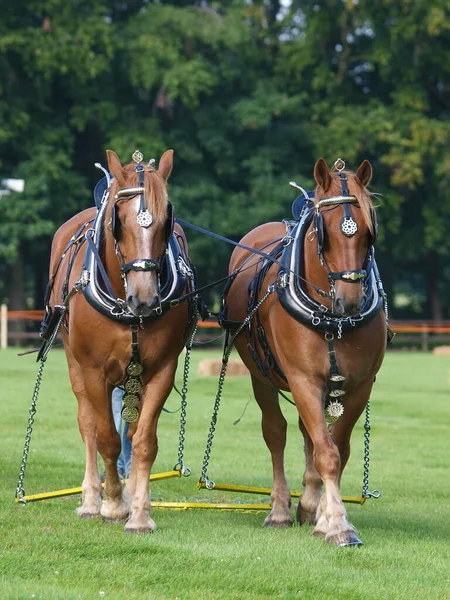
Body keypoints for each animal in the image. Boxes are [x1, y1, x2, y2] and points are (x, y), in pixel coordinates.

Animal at [44, 150, 195, 536]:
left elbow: (142, 442)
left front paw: (139, 512)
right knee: (88, 425)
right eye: (120, 221)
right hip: (75, 364)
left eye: (166, 223)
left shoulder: (161, 370)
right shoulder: (94, 371)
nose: (145, 298)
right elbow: (106, 439)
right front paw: (111, 505)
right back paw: (91, 500)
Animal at [223, 158, 384, 544]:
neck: (333, 318)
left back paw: (309, 505)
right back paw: (280, 510)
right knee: (276, 432)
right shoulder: (303, 380)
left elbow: (337, 448)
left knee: (308, 433)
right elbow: (326, 453)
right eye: (322, 231)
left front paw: (323, 514)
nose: (350, 300)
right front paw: (338, 524)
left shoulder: (359, 386)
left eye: (369, 232)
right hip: (262, 376)